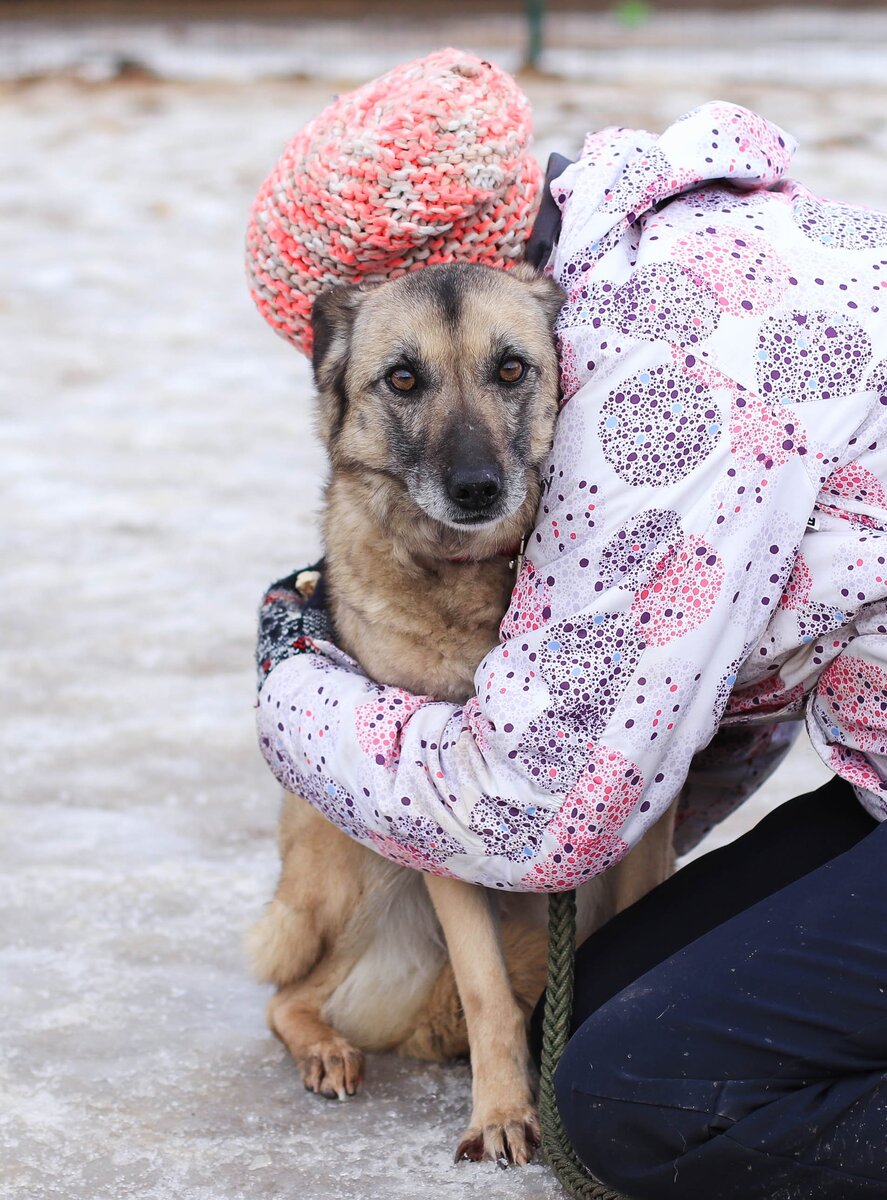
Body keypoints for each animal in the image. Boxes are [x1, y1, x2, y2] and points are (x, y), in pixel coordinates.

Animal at [246, 260, 676, 1161]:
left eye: (510, 369)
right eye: (403, 379)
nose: (476, 488)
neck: (480, 577)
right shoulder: (432, 809)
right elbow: (484, 991)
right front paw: (503, 1112)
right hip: (364, 861)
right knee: (290, 996)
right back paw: (325, 1051)